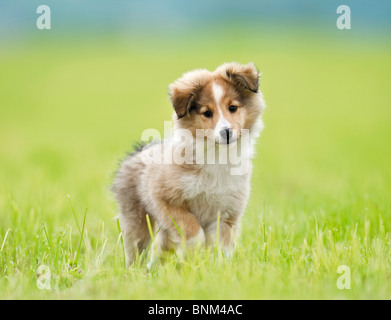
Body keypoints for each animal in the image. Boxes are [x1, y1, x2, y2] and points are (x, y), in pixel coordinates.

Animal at [112, 62, 268, 264]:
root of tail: (139, 151)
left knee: (160, 251)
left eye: (233, 107)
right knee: (137, 251)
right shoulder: (167, 201)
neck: (217, 156)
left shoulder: (227, 214)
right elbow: (194, 234)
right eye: (207, 113)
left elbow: (222, 249)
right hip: (137, 220)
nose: (226, 132)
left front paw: (218, 267)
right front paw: (189, 256)